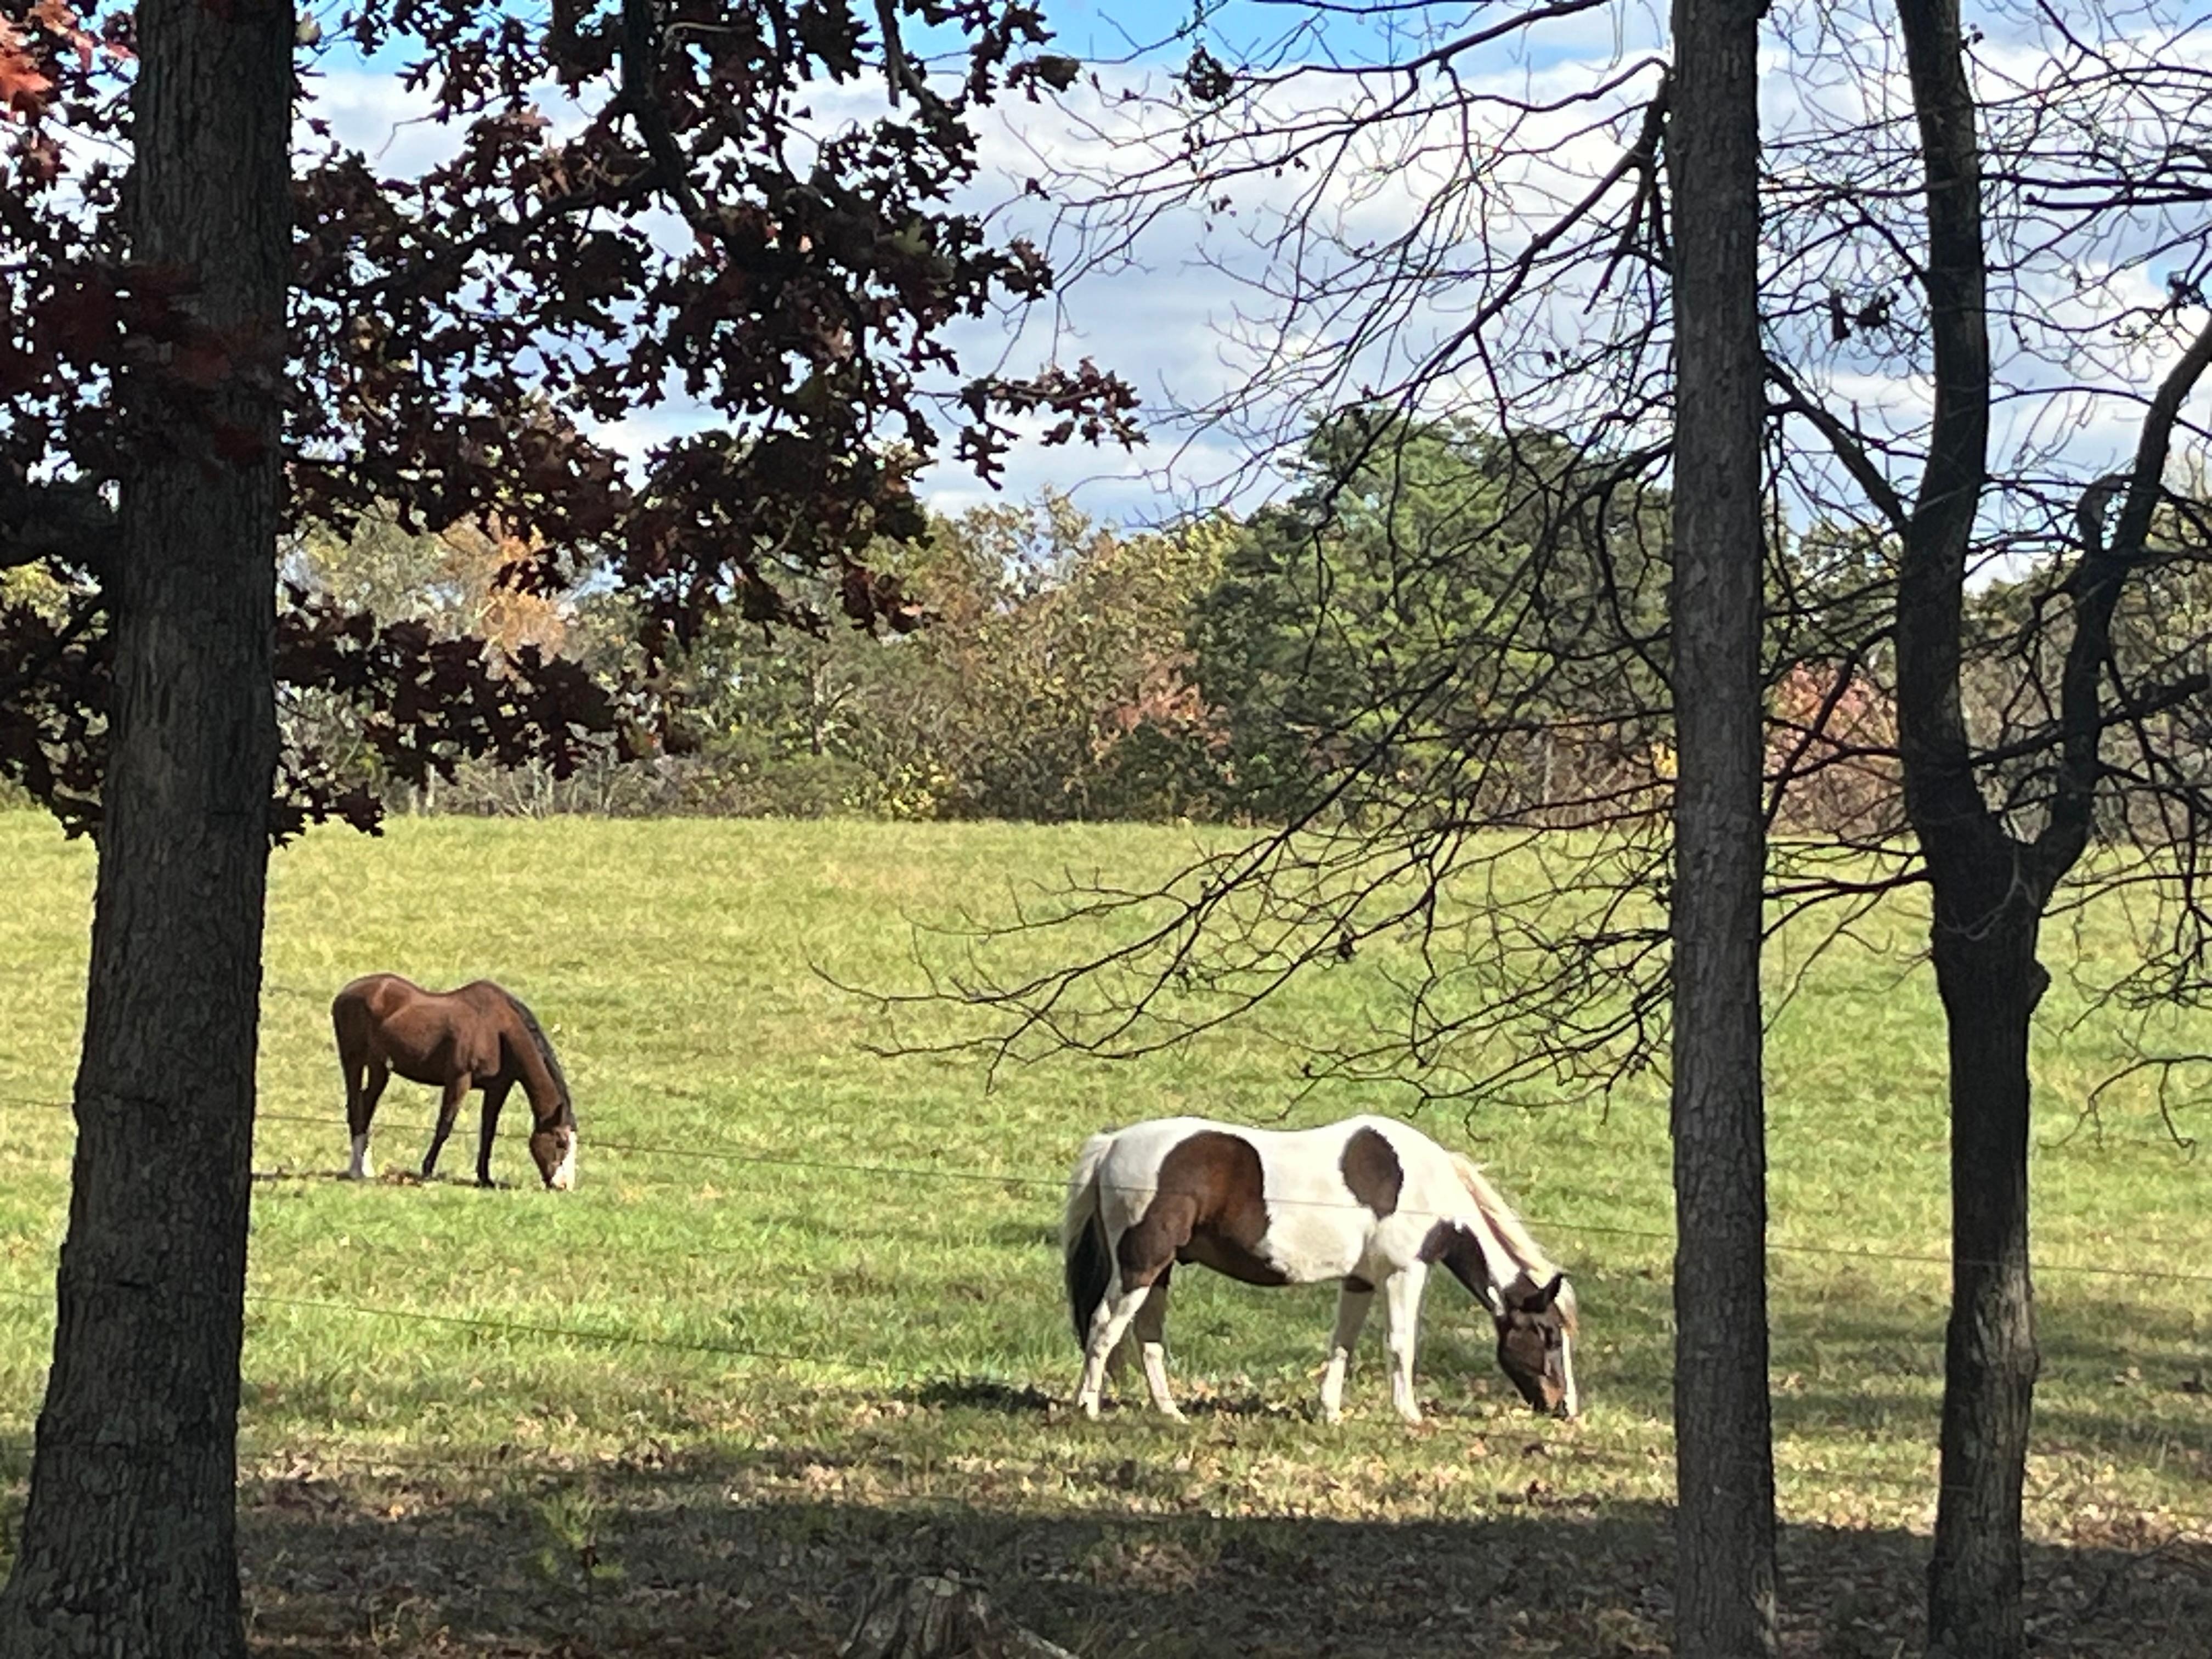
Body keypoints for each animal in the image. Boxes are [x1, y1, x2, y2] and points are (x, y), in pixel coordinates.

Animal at [331, 973, 578, 1190]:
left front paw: (484, 1178)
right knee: (355, 1106)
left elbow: (488, 1131)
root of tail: (346, 992)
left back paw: (365, 1169)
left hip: (379, 1067)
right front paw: (427, 1171)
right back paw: (356, 1171)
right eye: (561, 1143)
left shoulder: (498, 1088)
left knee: (366, 1106)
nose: (564, 1186)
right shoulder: (459, 1080)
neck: (498, 1031)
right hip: (353, 1061)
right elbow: (445, 1126)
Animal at [1062, 1114, 1577, 1426]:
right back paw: (1087, 1407)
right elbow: (1400, 1343)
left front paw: (1330, 1412)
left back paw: (1170, 1412)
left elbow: (1342, 1345)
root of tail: (1112, 1145)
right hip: (1140, 1267)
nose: (1564, 1408)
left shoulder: (1361, 1280)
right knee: (1105, 1327)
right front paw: (1408, 1414)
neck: (1425, 1186)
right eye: (1549, 1336)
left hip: (1160, 1272)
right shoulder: (1403, 1274)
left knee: (1147, 1337)